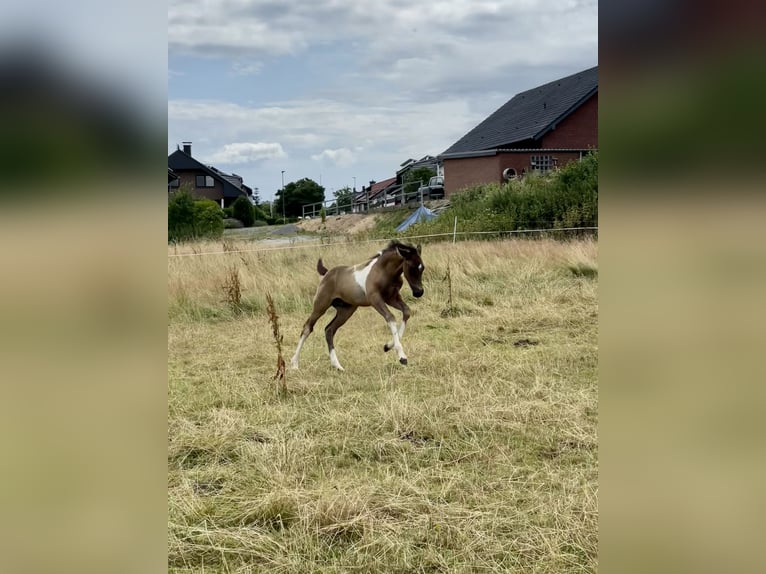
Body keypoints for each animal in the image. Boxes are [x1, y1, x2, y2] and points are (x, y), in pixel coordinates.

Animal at [290, 241, 425, 371]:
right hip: (321, 305)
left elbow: (406, 311)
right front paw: (402, 356)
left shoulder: (392, 298)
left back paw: (337, 366)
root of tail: (327, 273)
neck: (384, 271)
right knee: (308, 327)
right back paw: (295, 364)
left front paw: (387, 346)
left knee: (329, 330)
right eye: (412, 267)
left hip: (346, 310)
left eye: (422, 267)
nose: (419, 292)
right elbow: (390, 317)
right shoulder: (375, 299)